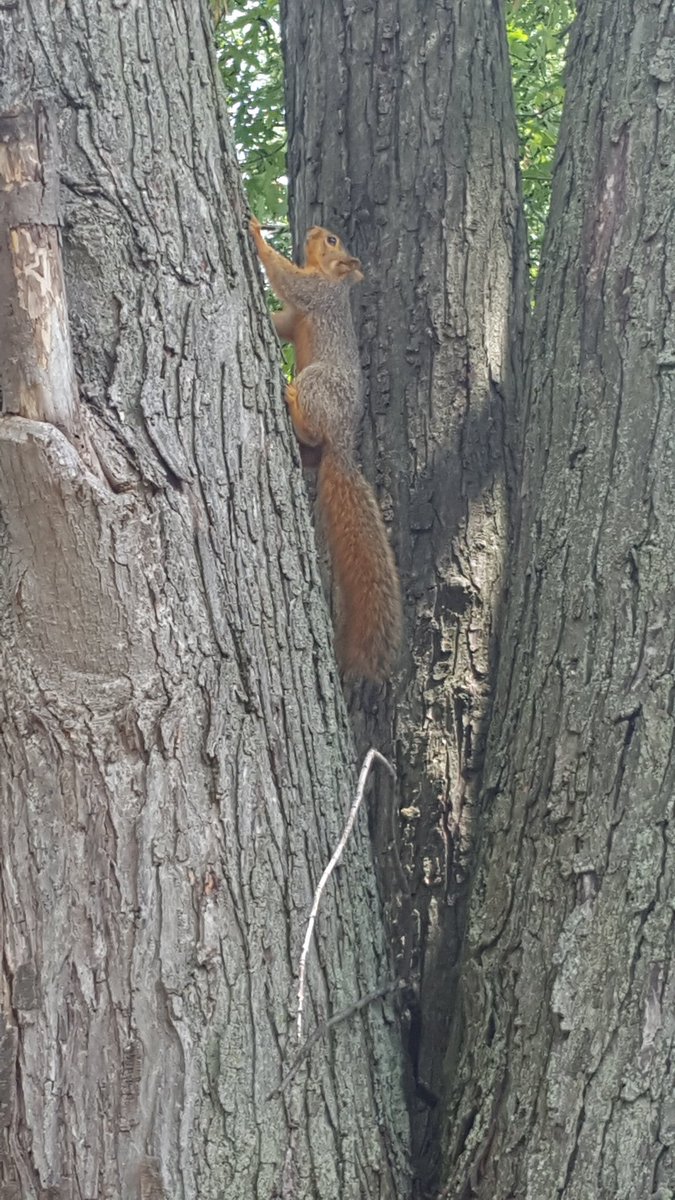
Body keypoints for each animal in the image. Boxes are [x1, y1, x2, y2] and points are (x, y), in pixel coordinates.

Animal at [249, 217, 402, 682]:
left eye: (332, 240)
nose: (315, 228)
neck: (332, 278)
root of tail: (342, 441)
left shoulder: (316, 294)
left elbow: (288, 279)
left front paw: (256, 234)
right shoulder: (296, 315)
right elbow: (281, 322)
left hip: (318, 381)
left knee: (314, 428)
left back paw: (293, 401)